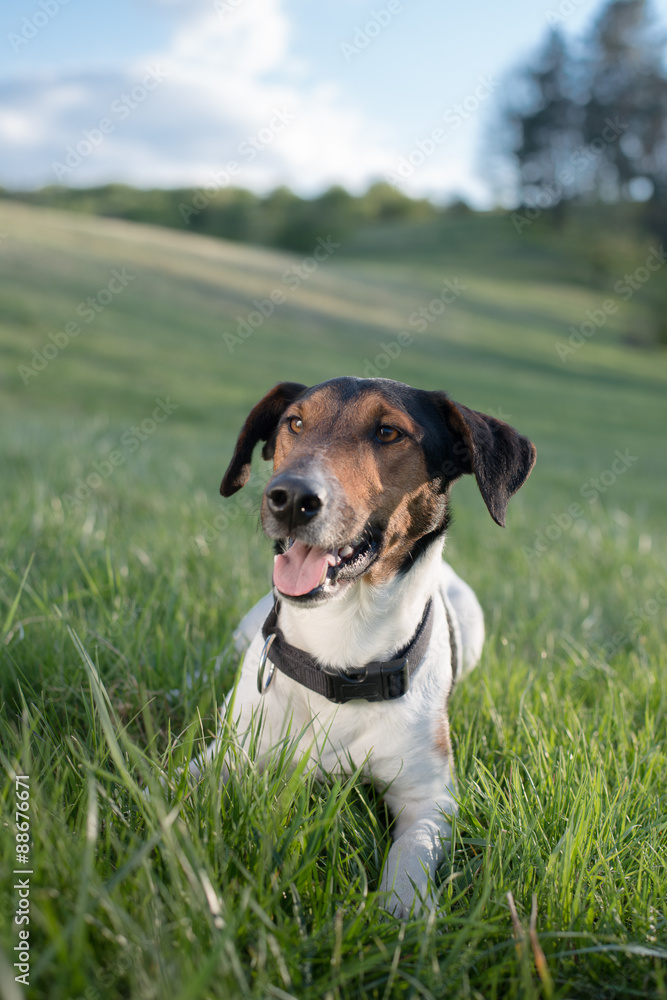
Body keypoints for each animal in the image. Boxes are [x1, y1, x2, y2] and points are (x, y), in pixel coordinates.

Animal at [211, 376, 536, 920]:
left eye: (388, 432)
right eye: (294, 422)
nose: (291, 498)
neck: (343, 648)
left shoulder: (430, 799)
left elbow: (411, 853)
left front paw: (400, 913)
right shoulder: (227, 756)